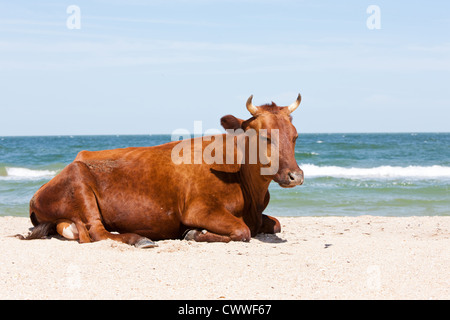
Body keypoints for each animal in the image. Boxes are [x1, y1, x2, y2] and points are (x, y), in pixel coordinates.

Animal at [19, 94, 304, 246]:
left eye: (295, 136)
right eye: (265, 137)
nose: (296, 176)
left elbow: (276, 224)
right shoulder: (200, 209)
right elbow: (242, 231)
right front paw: (193, 233)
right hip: (79, 180)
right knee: (98, 231)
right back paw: (139, 239)